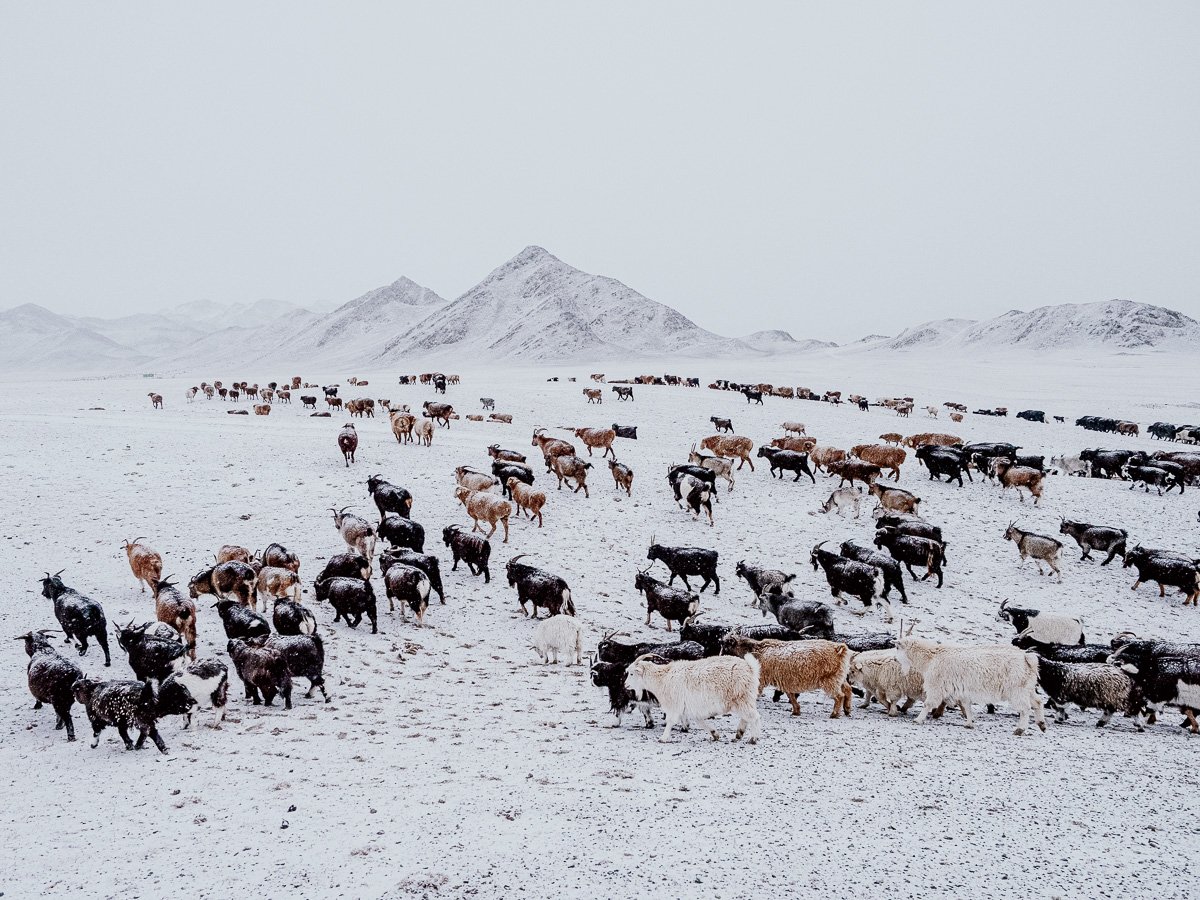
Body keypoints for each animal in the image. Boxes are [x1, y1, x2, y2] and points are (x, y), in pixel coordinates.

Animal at [624, 657, 763, 748]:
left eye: (631, 674)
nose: (625, 685)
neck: (663, 678)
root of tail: (750, 668)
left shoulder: (675, 704)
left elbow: (670, 721)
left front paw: (663, 738)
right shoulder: (691, 707)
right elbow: (700, 721)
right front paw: (715, 734)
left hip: (742, 698)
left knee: (755, 717)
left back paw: (753, 739)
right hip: (742, 700)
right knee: (747, 717)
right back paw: (739, 733)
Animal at [710, 638, 854, 724]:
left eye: (726, 647)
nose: (719, 660)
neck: (757, 650)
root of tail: (839, 649)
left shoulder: (762, 679)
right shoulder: (786, 680)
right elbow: (790, 695)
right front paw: (796, 710)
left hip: (830, 680)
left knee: (839, 696)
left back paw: (834, 714)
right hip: (839, 677)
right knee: (848, 689)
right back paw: (847, 709)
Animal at [897, 638, 1046, 734]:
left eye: (897, 648)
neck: (931, 657)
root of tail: (1026, 657)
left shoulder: (936, 686)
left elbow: (928, 704)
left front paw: (918, 719)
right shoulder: (963, 691)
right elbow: (967, 707)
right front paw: (969, 724)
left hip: (1017, 690)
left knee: (1025, 708)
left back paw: (1020, 729)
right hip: (1027, 688)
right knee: (1038, 702)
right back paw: (1041, 724)